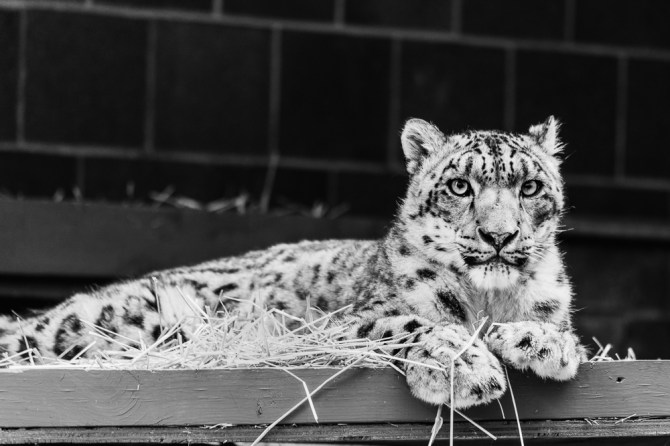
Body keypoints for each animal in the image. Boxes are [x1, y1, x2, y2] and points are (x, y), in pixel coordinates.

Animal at [0, 116, 586, 410]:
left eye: (530, 187)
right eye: (461, 186)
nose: (499, 235)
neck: (489, 297)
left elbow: (560, 330)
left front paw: (542, 342)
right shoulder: (335, 326)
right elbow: (409, 323)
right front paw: (467, 366)